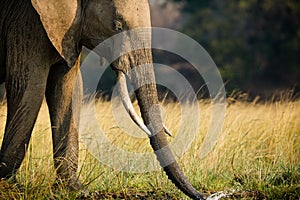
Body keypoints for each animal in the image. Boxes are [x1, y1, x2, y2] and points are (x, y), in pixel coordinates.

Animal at [0, 0, 206, 199]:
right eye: (117, 26)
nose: (202, 195)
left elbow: (68, 89)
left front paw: (75, 190)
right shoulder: (29, 22)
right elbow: (29, 87)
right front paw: (9, 184)